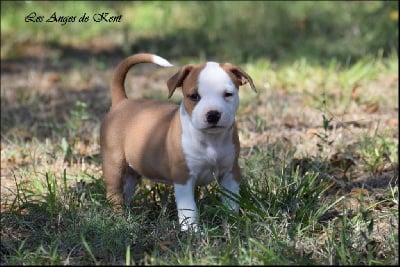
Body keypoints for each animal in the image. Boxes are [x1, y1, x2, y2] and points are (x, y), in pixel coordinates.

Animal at [100, 53, 256, 231]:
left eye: (228, 94)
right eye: (194, 96)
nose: (213, 114)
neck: (210, 140)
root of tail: (122, 102)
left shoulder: (230, 173)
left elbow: (231, 202)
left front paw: (232, 224)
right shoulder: (183, 176)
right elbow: (189, 208)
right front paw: (192, 231)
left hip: (132, 169)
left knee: (126, 189)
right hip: (114, 163)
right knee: (114, 193)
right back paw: (119, 218)